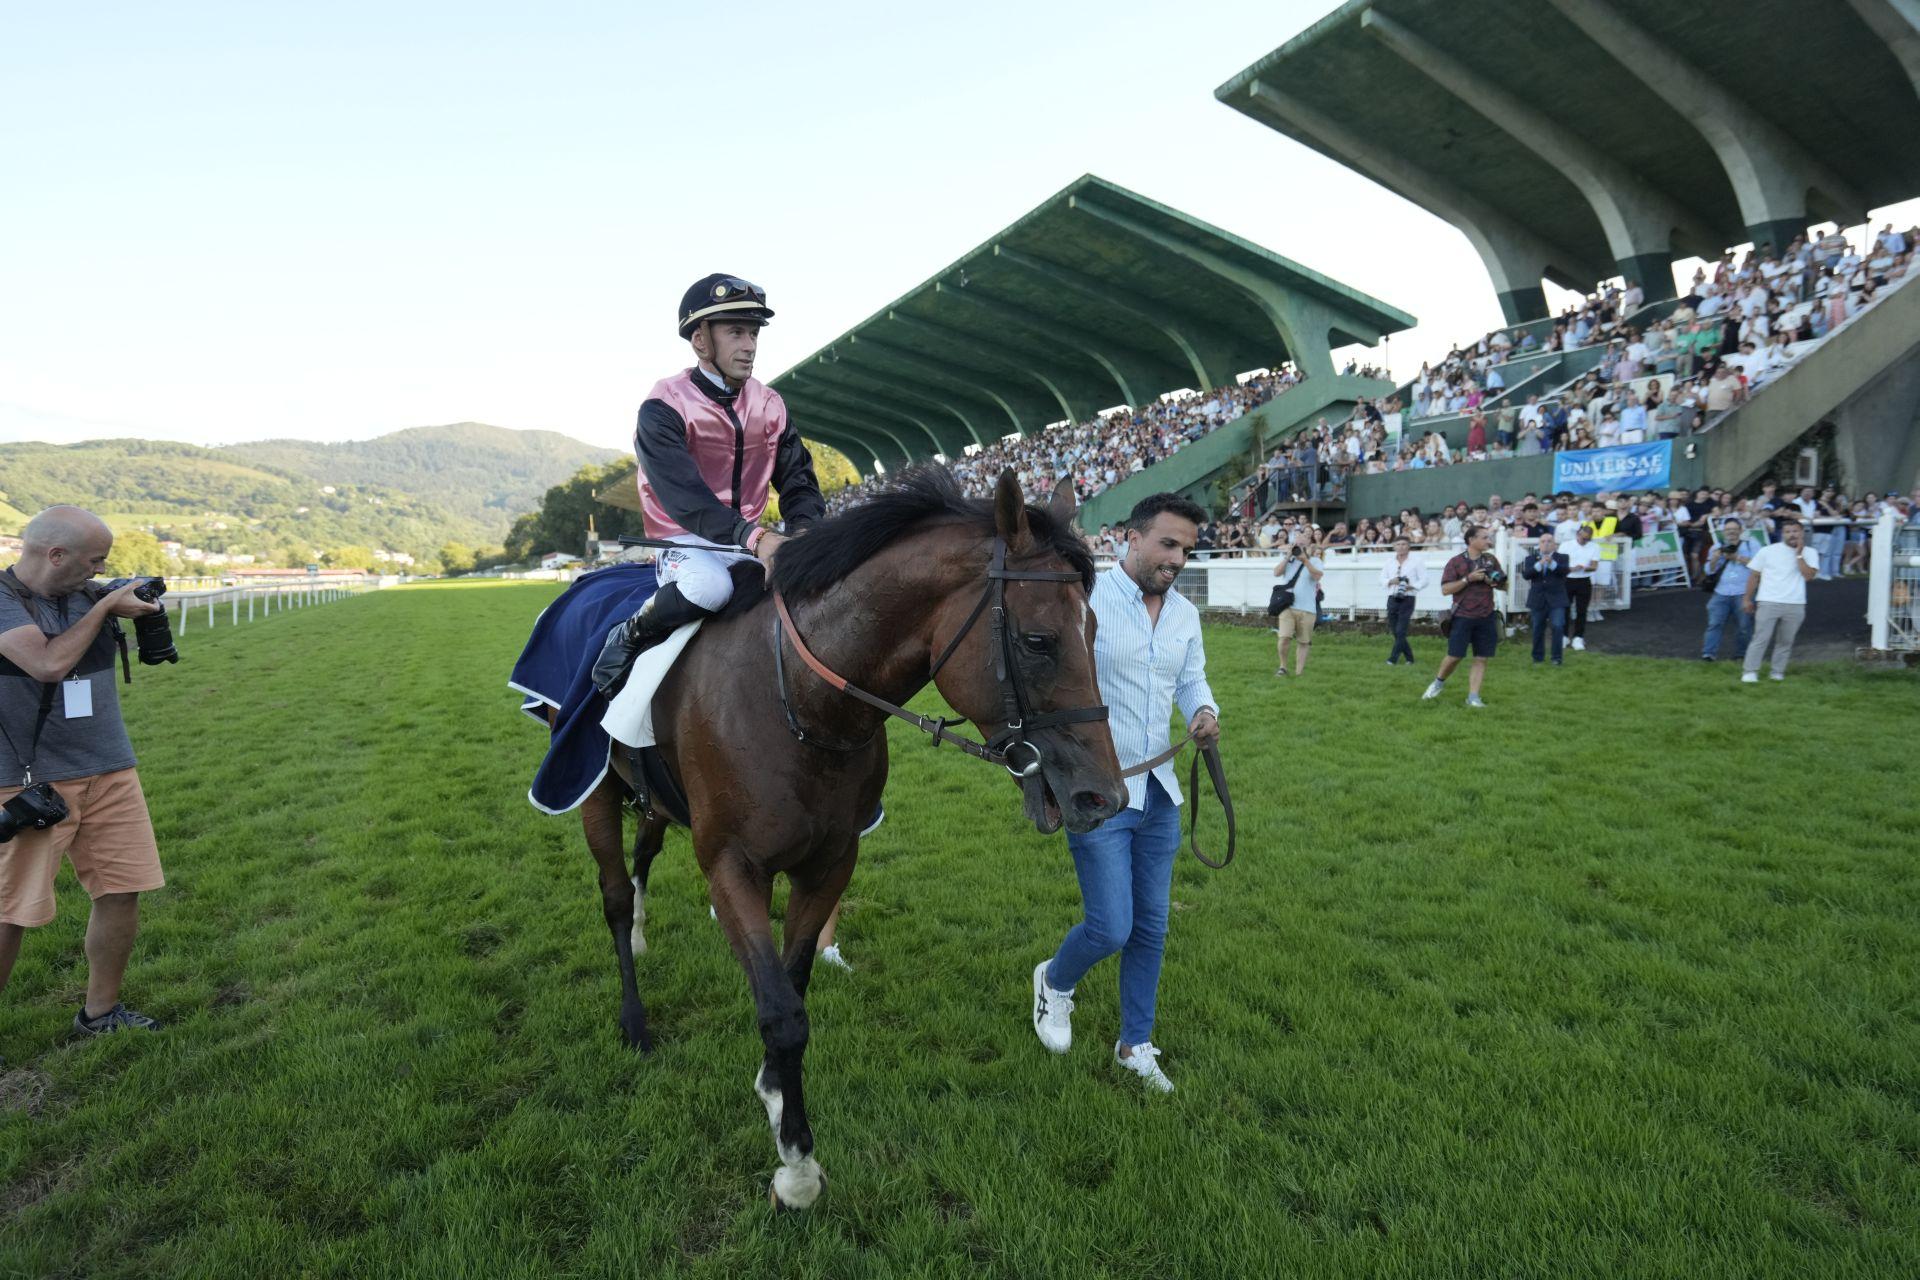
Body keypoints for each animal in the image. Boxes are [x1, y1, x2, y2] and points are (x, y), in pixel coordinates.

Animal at [556, 470, 1121, 1212]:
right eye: (1037, 640)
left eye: (1096, 628)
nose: (1103, 797)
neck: (799, 701)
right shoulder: (733, 865)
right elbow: (781, 1012)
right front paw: (796, 1166)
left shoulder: (828, 863)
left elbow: (793, 987)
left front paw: (775, 1096)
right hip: (594, 792)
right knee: (615, 897)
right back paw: (634, 1018)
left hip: (651, 802)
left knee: (644, 861)